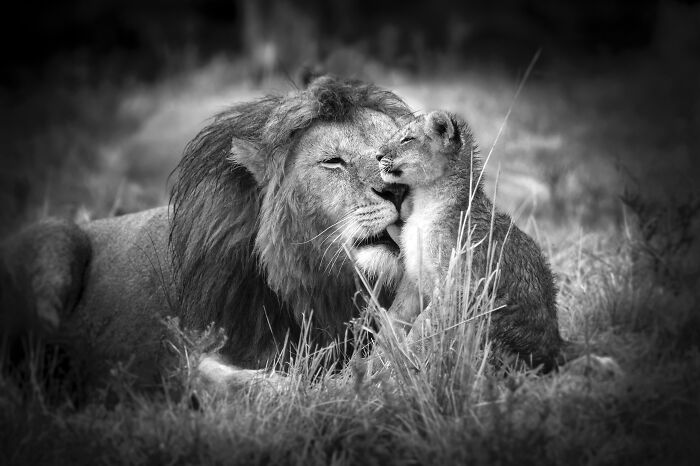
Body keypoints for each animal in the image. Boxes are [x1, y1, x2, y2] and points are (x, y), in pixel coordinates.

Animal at [0, 76, 413, 388]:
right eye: (333, 161)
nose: (398, 189)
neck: (323, 289)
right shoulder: (200, 345)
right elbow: (223, 375)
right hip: (56, 238)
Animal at [378, 110, 564, 370]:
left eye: (408, 139)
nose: (377, 155)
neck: (425, 201)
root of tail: (556, 348)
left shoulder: (457, 286)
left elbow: (423, 327)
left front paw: (398, 366)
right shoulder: (414, 278)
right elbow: (396, 317)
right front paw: (373, 361)